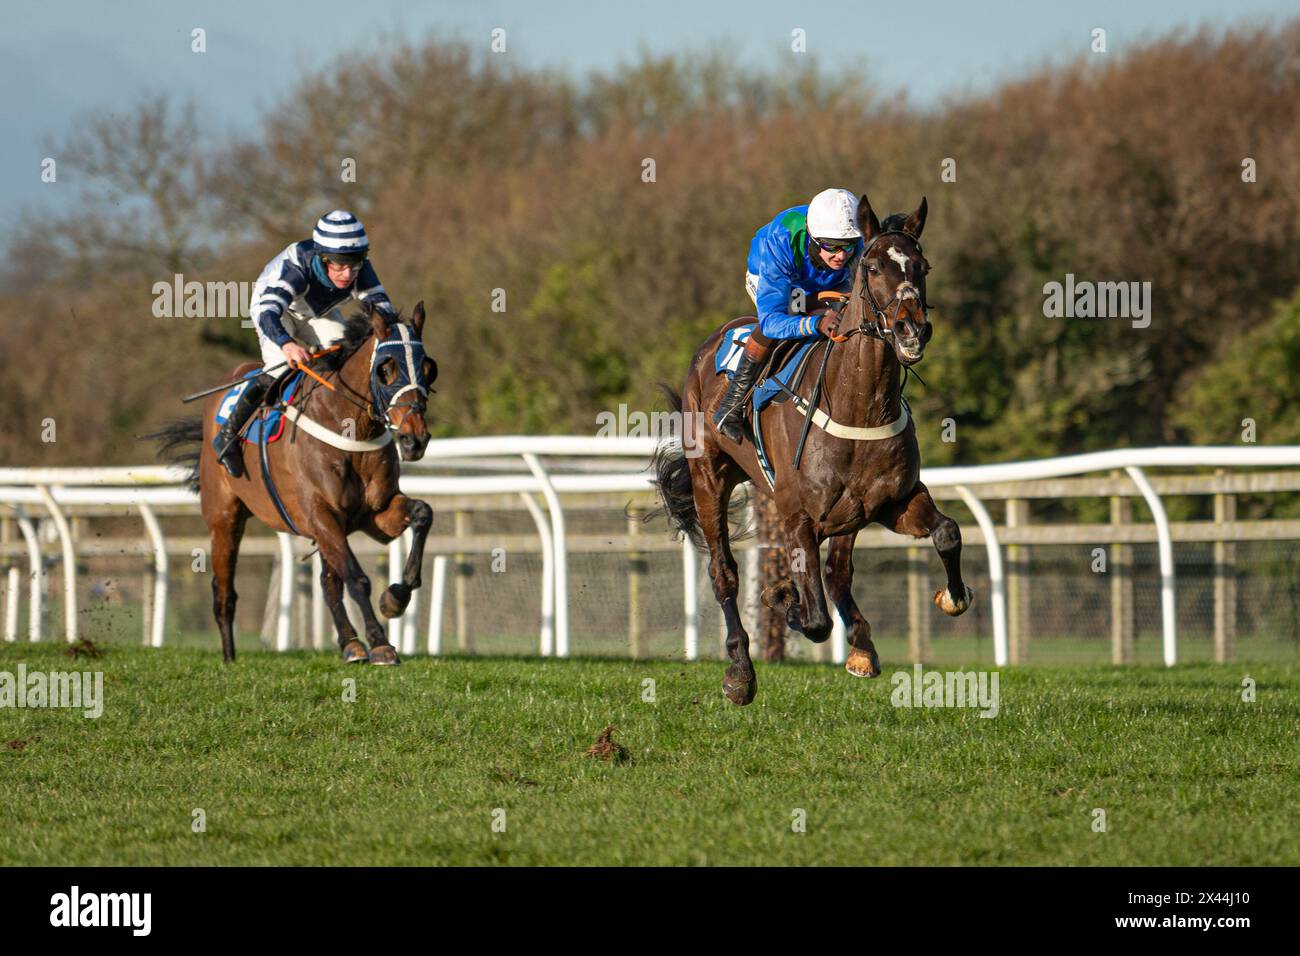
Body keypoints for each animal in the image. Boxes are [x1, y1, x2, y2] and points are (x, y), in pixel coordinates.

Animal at [145, 303, 434, 660]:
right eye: (386, 369)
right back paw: (229, 657)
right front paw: (381, 644)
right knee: (224, 591)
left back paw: (350, 644)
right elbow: (357, 578)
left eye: (428, 368)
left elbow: (422, 513)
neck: (350, 429)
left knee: (328, 581)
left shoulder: (373, 514)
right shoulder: (320, 513)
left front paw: (395, 597)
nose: (414, 439)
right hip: (224, 518)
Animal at [655, 195, 972, 702]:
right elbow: (817, 620)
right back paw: (740, 671)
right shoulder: (798, 517)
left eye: (922, 267)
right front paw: (782, 598)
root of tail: (709, 347)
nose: (911, 330)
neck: (858, 406)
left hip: (847, 515)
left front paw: (952, 596)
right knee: (724, 572)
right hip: (709, 479)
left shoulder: (895, 501)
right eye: (873, 267)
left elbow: (947, 532)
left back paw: (860, 644)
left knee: (839, 572)